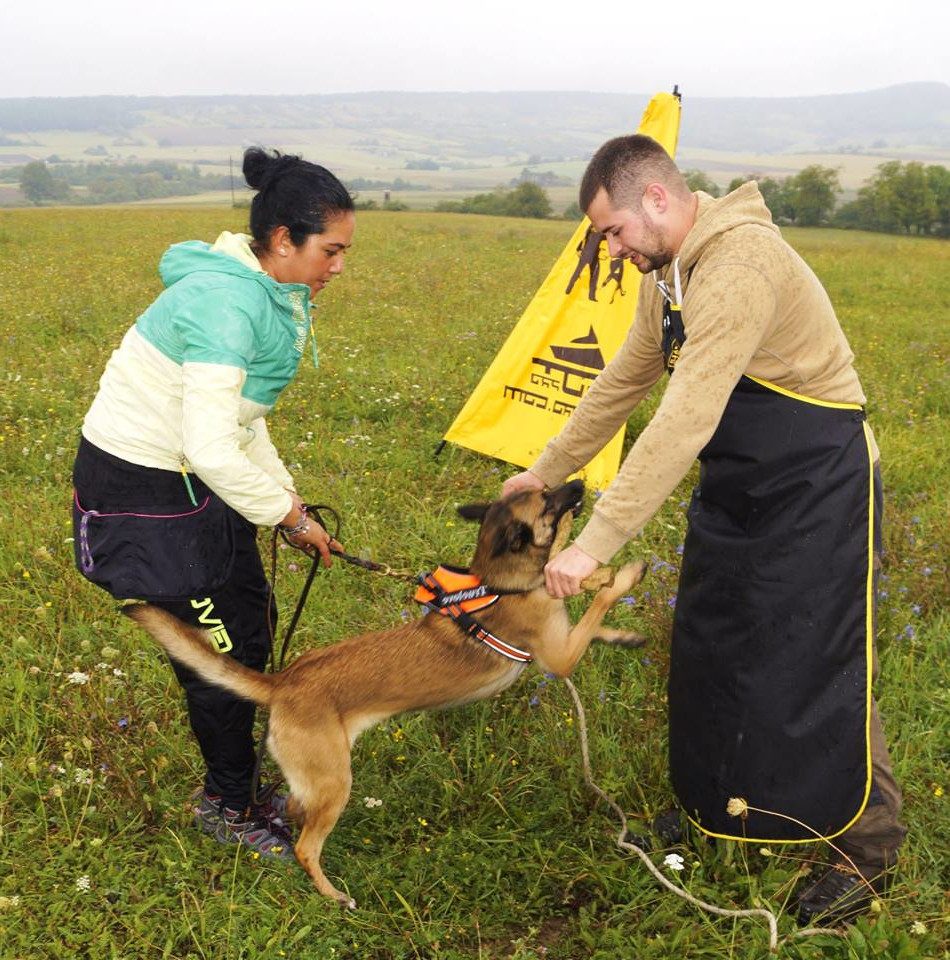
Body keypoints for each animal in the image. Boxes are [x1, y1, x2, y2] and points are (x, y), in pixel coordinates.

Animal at [122, 480, 648, 908]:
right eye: (548, 498)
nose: (580, 483)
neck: (502, 583)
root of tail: (282, 682)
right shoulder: (560, 657)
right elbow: (594, 603)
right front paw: (622, 575)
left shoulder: (562, 644)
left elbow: (594, 616)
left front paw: (620, 628)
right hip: (336, 784)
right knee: (306, 846)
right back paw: (333, 894)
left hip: (317, 778)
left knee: (294, 808)